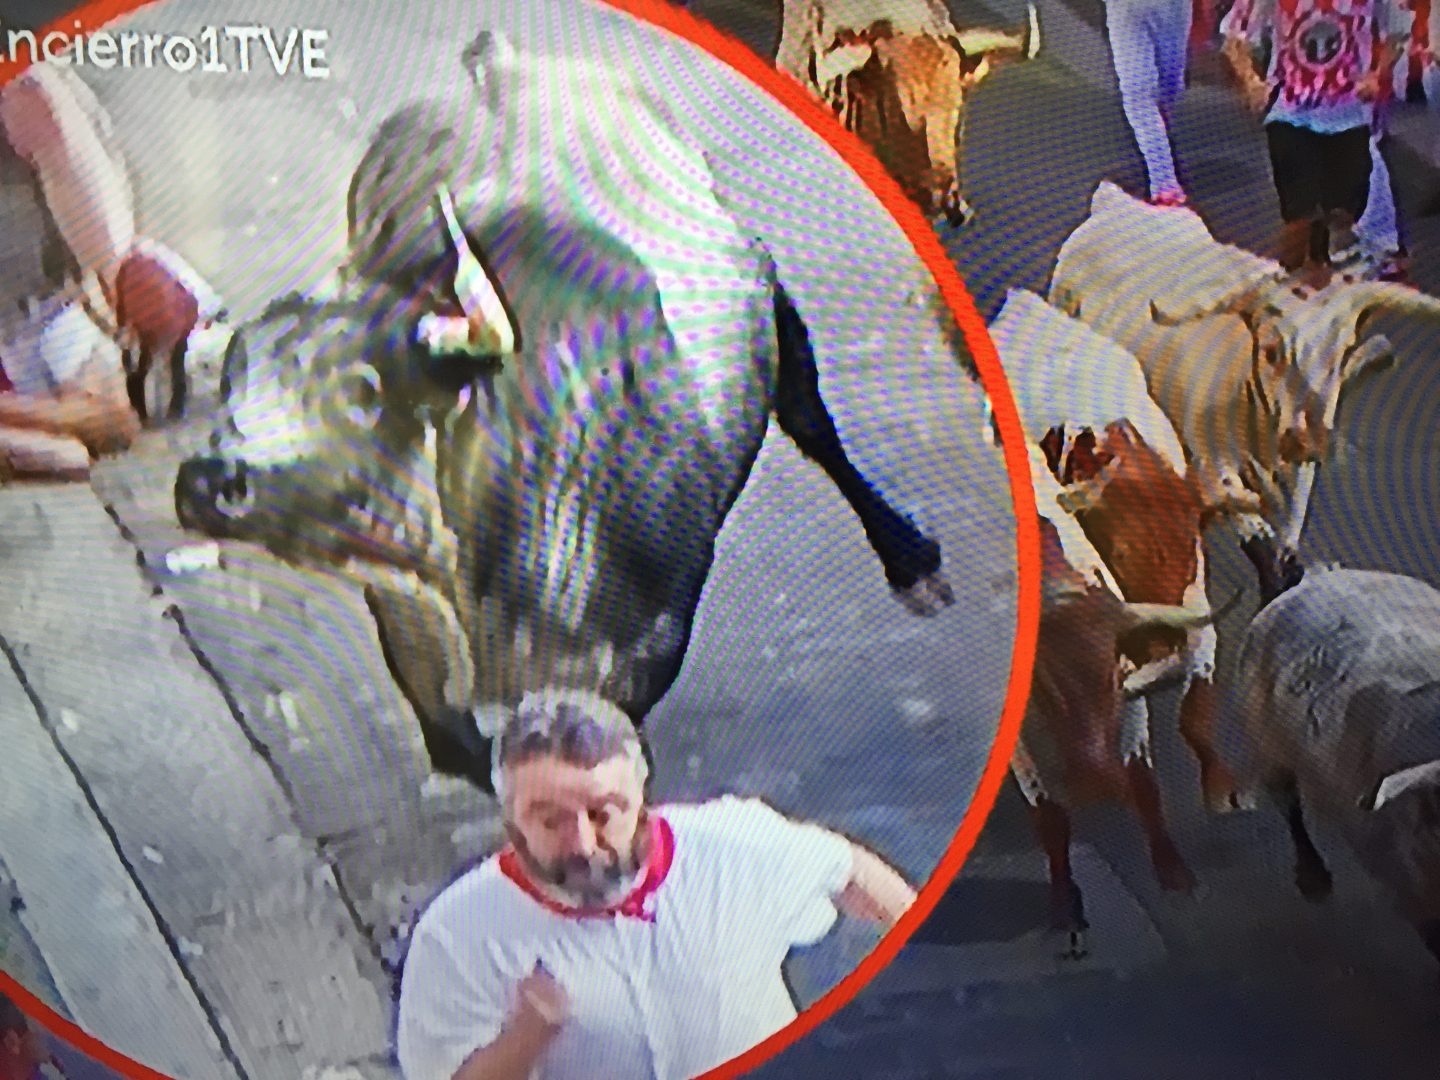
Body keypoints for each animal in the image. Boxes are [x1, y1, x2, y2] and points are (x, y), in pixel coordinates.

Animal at [171, 31, 956, 794]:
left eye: (366, 390)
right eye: (236, 375)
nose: (209, 482)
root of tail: (499, 59)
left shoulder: (640, 653)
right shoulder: (413, 649)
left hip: (776, 299)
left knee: (809, 416)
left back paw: (911, 559)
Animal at [1048, 185, 1440, 610]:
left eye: (1342, 350)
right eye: (1271, 349)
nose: (1309, 439)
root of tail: (1112, 201)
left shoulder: (1298, 482)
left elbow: (1288, 550)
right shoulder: (1215, 467)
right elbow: (1259, 547)